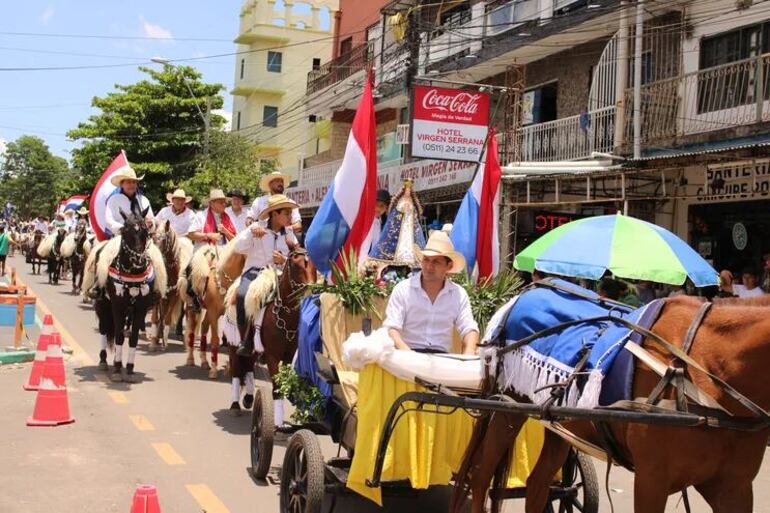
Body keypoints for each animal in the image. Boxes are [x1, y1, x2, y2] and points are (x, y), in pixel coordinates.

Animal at [91, 207, 167, 380]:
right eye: (125, 230)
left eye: (145, 230)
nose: (139, 260)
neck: (132, 274)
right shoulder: (117, 306)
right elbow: (119, 336)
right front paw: (118, 369)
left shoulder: (140, 308)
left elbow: (133, 338)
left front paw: (130, 369)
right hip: (102, 305)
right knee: (104, 329)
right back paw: (104, 361)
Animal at [452, 294, 768, 512]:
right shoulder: (651, 480)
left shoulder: (734, 488)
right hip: (508, 407)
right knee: (481, 475)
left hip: (558, 424)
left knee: (537, 484)